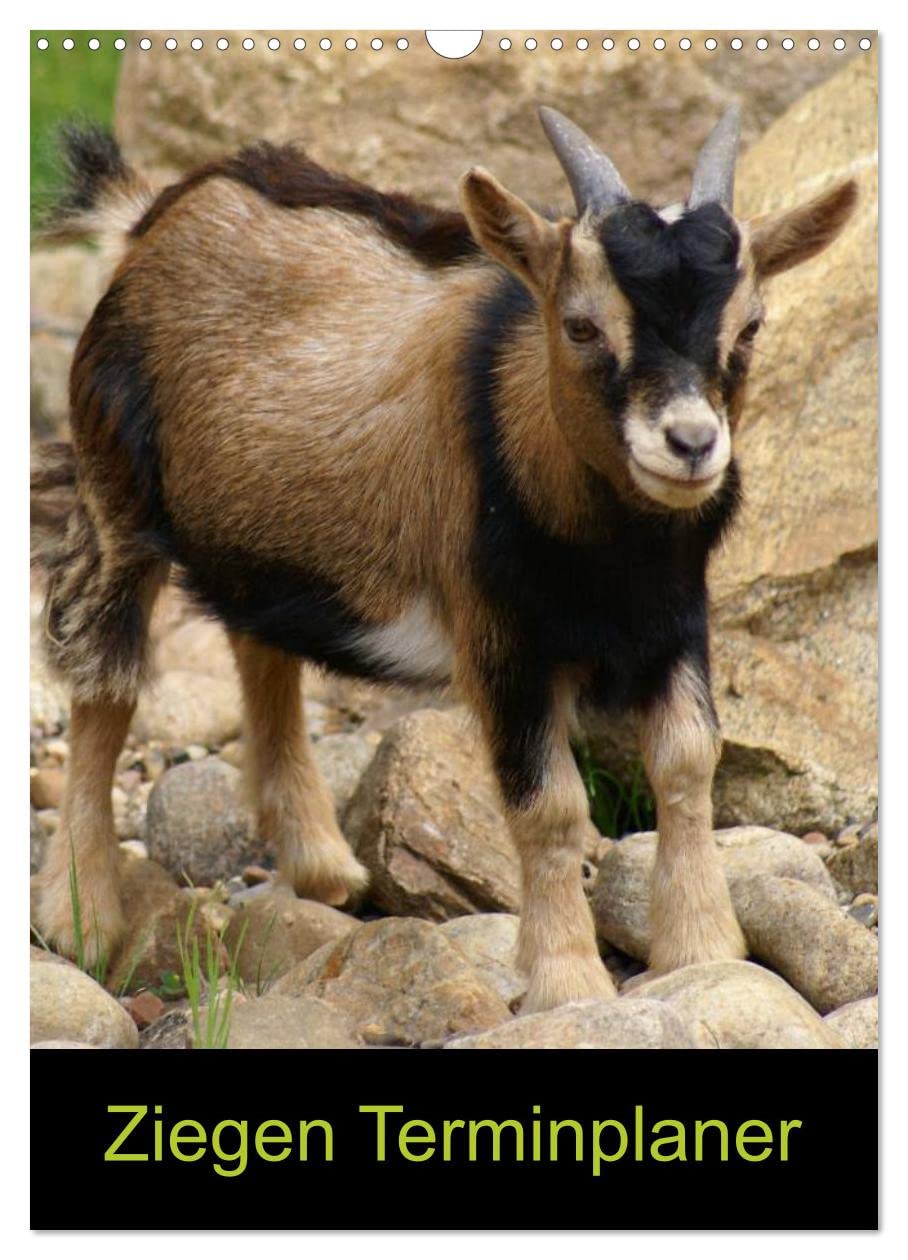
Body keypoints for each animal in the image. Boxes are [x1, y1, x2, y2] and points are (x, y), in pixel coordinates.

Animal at [32, 110, 856, 1012]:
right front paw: (566, 981)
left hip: (266, 536)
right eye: (581, 325)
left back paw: (322, 866)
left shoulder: (676, 618)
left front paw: (701, 950)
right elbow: (550, 804)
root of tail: (151, 216)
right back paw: (80, 916)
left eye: (749, 327)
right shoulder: (502, 636)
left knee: (261, 649)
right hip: (115, 492)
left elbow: (686, 763)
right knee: (104, 687)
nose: (691, 443)